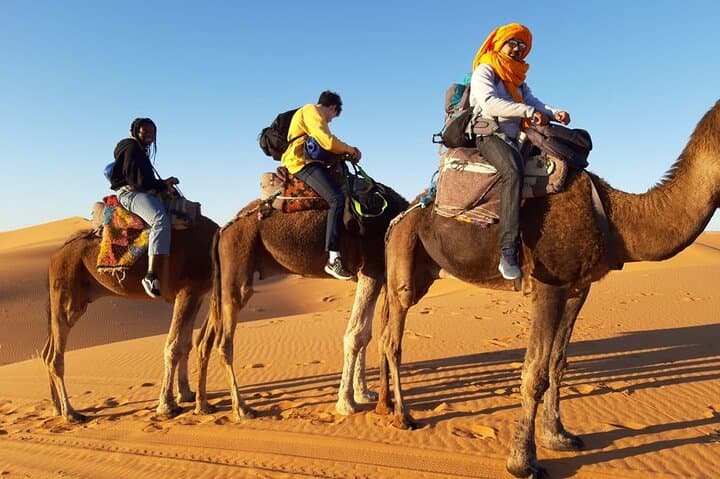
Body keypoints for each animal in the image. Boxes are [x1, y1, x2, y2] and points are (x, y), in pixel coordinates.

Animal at [43, 214, 218, 423]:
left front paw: (186, 394)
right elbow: (173, 347)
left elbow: (185, 345)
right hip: (67, 296)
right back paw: (70, 413)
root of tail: (54, 256)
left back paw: (56, 408)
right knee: (55, 357)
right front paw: (167, 406)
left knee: (47, 352)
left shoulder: (197, 294)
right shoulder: (187, 290)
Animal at [194, 185, 408, 419]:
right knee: (224, 342)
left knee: (205, 339)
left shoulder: (372, 275)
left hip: (223, 281)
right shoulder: (372, 268)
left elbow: (365, 334)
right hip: (236, 267)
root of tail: (222, 230)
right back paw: (241, 409)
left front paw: (363, 393)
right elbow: (356, 335)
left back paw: (203, 405)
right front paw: (346, 404)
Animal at [375, 100, 720, 479]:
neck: (616, 220)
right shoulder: (548, 286)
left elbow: (558, 363)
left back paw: (385, 407)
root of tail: (401, 215)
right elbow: (534, 373)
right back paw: (403, 416)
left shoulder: (578, 288)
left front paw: (558, 436)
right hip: (404, 263)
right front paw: (523, 461)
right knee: (392, 338)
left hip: (424, 268)